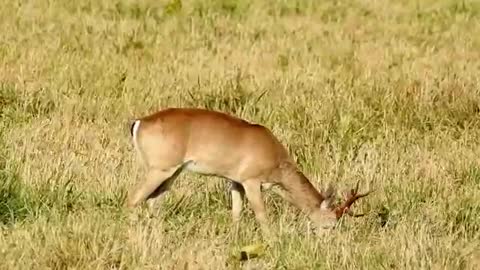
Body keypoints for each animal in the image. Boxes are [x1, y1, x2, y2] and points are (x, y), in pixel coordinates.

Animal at [126, 107, 372, 234]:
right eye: (331, 223)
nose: (329, 238)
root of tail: (140, 122)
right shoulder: (251, 183)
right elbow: (262, 216)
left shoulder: (235, 183)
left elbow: (236, 214)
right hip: (159, 171)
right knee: (134, 199)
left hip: (171, 174)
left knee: (153, 201)